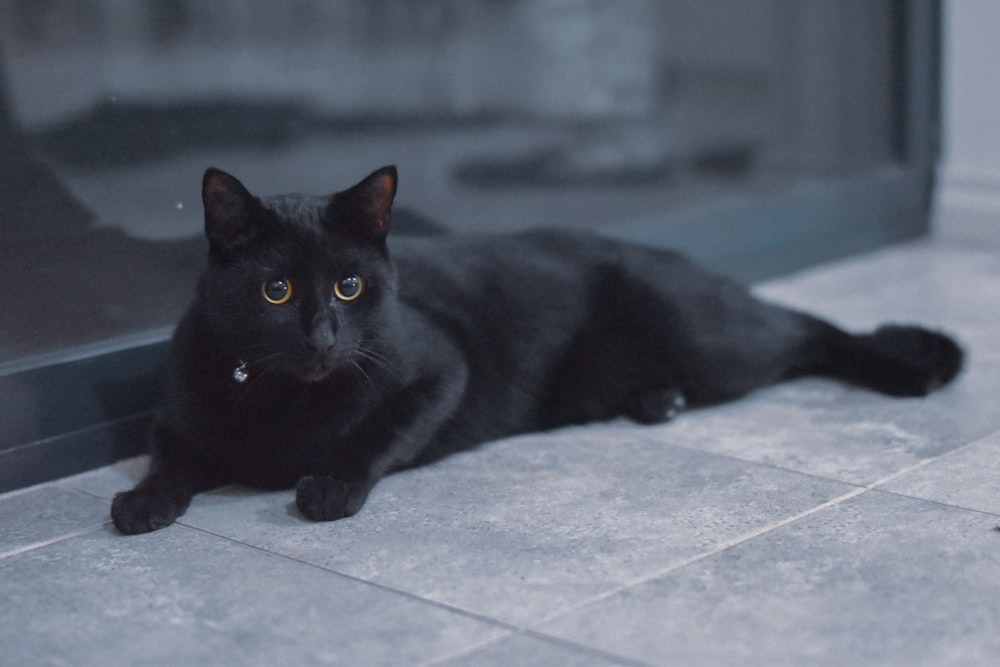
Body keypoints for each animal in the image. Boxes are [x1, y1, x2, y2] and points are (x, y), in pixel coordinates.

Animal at [109, 168, 960, 536]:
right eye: (277, 291)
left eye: (349, 287)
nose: (323, 336)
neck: (287, 402)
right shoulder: (176, 413)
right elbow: (172, 457)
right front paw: (144, 501)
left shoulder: (439, 369)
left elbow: (374, 435)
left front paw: (329, 485)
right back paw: (657, 399)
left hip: (714, 341)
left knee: (806, 329)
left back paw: (920, 362)